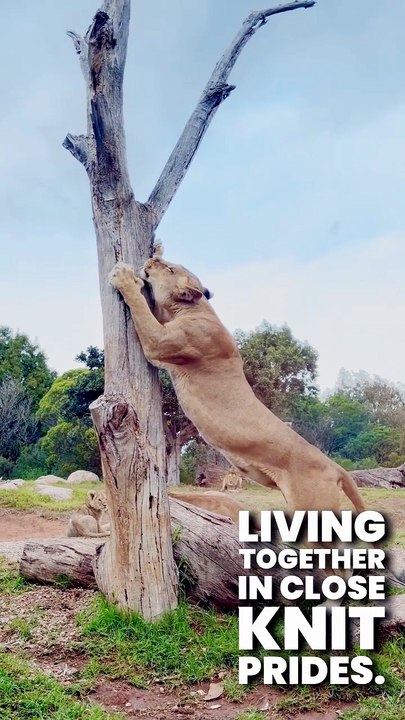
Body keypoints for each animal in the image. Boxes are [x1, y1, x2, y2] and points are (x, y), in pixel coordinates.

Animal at [109, 248, 365, 517]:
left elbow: (140, 307)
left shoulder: (162, 342)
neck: (196, 308)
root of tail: (335, 467)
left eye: (169, 269)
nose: (154, 258)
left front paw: (125, 277)